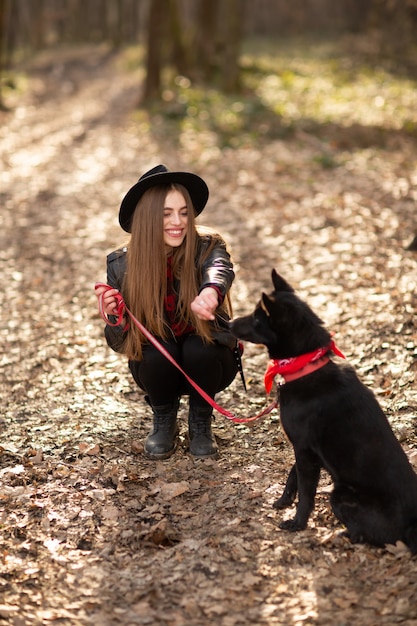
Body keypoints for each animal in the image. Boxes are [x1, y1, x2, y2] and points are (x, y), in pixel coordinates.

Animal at [229, 268, 416, 552]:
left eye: (257, 318)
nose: (228, 323)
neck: (304, 366)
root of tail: (413, 524)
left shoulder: (305, 450)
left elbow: (306, 492)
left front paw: (297, 523)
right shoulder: (303, 449)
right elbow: (292, 476)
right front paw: (283, 502)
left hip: (339, 494)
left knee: (369, 536)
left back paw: (339, 535)